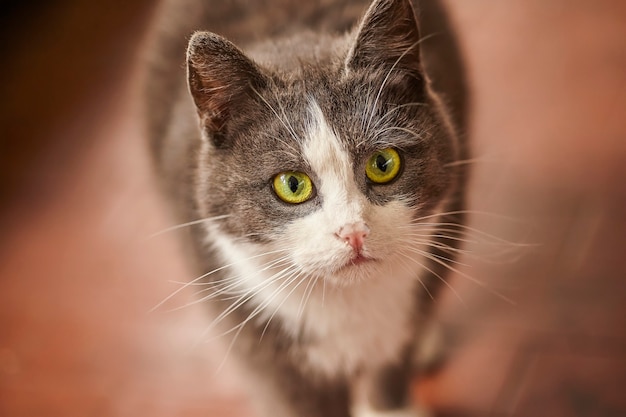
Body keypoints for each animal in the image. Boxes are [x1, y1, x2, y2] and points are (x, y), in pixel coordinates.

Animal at [144, 0, 466, 414]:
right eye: (292, 184)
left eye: (383, 163)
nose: (353, 232)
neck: (348, 301)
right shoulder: (254, 335)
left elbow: (394, 357)